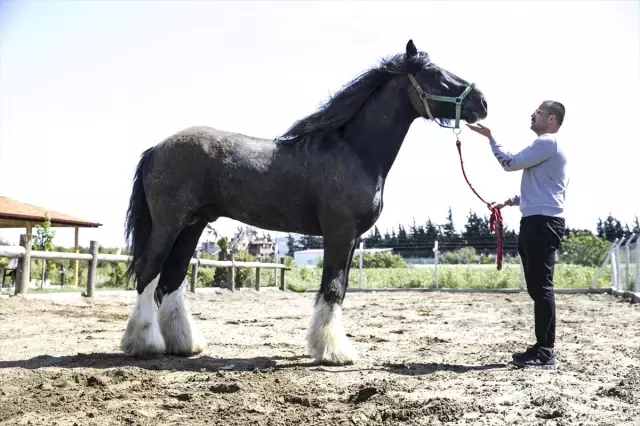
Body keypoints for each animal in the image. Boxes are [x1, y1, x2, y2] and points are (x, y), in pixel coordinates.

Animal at [120, 40, 488, 366]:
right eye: (434, 74)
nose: (482, 102)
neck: (355, 150)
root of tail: (155, 149)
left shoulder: (350, 238)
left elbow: (339, 288)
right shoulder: (340, 232)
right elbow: (333, 288)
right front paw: (333, 352)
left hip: (192, 225)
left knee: (172, 279)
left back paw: (185, 344)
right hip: (170, 223)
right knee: (148, 273)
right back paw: (144, 343)